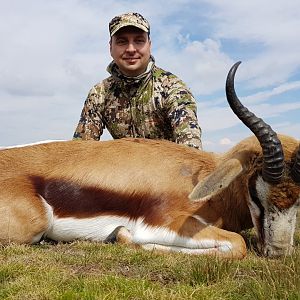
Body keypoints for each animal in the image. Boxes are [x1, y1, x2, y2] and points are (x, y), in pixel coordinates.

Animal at [0, 62, 298, 258]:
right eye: (256, 192)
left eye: (297, 200)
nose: (277, 253)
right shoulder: (166, 223)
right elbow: (237, 244)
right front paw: (122, 236)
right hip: (34, 227)